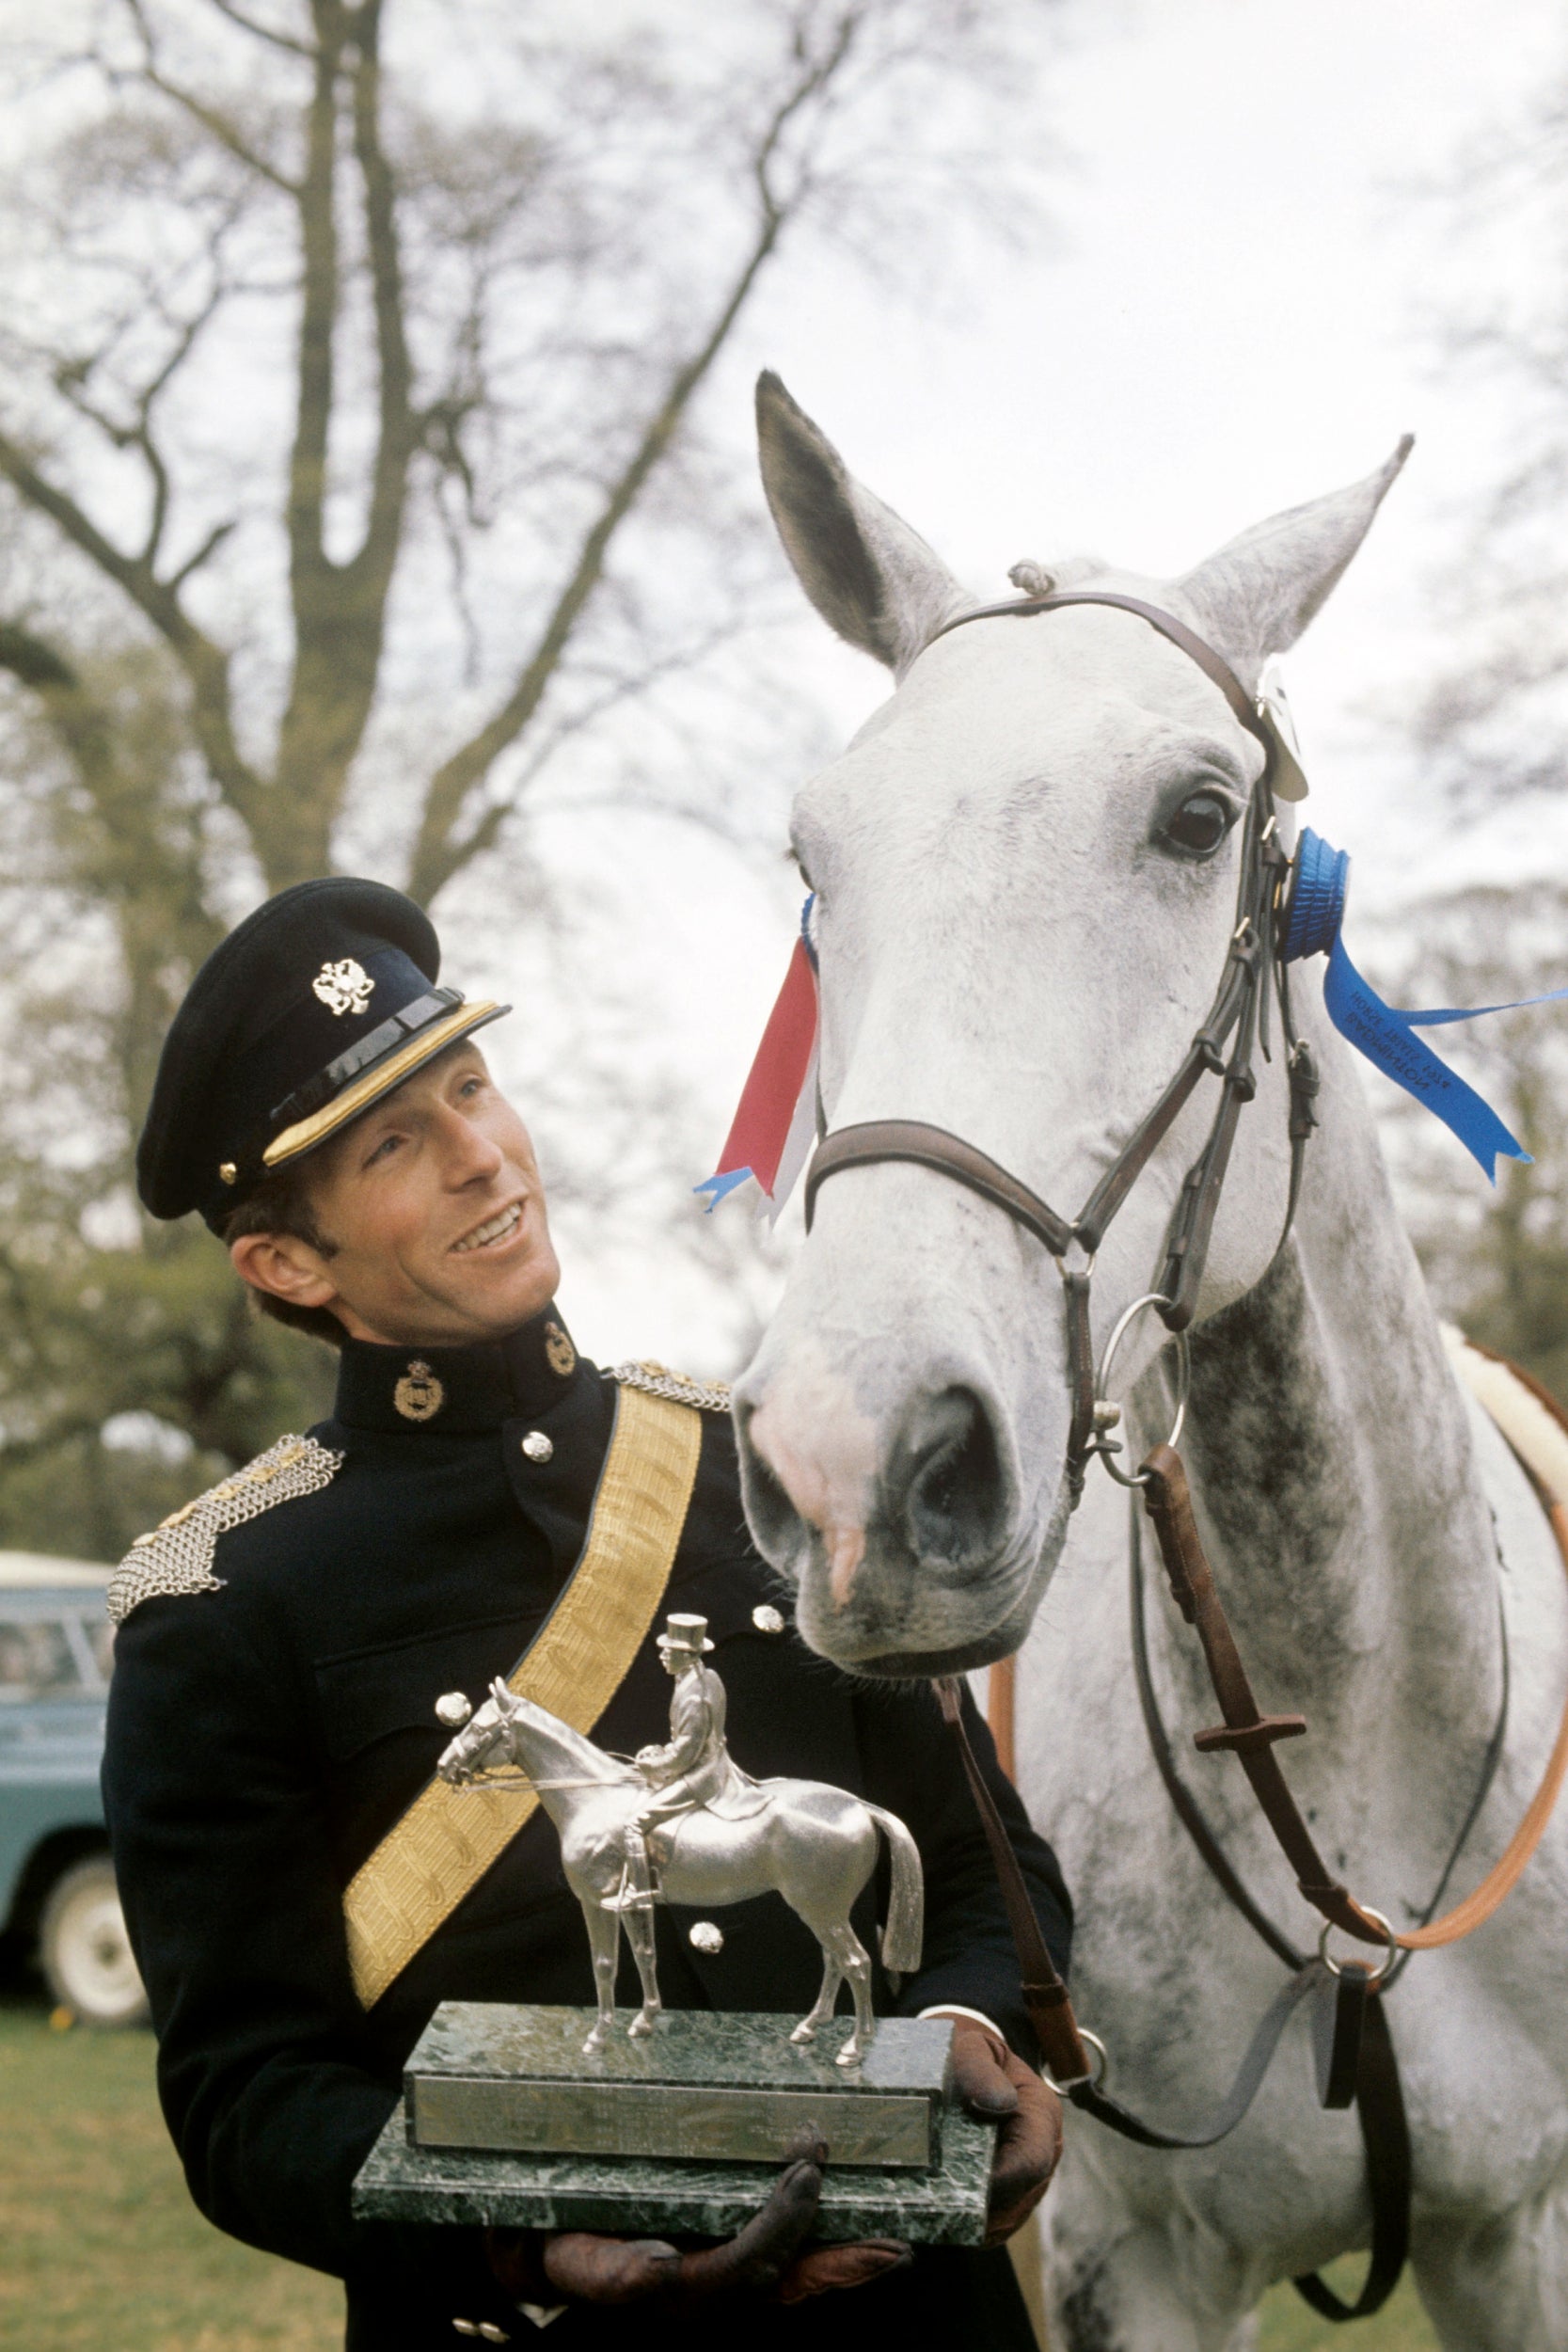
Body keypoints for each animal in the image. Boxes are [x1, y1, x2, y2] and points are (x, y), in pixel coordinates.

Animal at [435, 1684, 926, 2070]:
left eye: (478, 1727)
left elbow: (605, 1966)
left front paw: (598, 2036)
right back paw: (810, 2027)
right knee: (834, 1962)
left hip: (821, 1910)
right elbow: (646, 1955)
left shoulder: (596, 1903)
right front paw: (645, 2019)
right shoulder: (634, 1902)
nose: (444, 1768)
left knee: (856, 1963)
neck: (593, 1799)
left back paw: (854, 2048)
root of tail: (858, 1806)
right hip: (821, 1911)